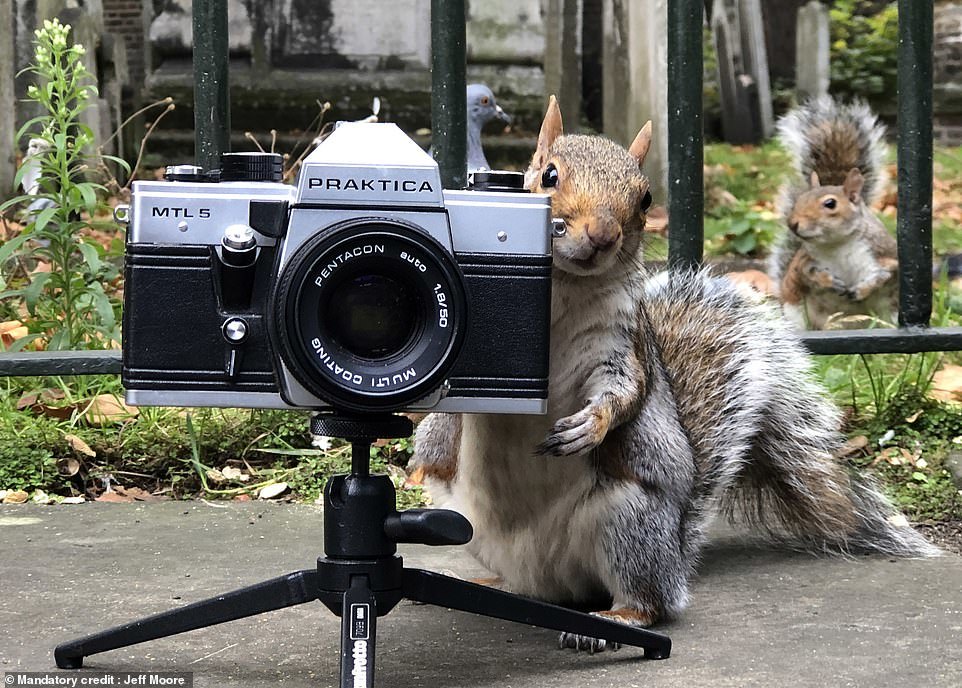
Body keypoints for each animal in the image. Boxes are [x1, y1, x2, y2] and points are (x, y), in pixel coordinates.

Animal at [768, 97, 896, 330]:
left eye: (830, 204)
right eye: (799, 201)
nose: (793, 224)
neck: (836, 246)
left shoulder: (884, 256)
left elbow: (884, 275)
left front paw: (862, 290)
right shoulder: (803, 262)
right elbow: (808, 273)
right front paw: (828, 281)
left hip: (888, 315)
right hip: (794, 310)